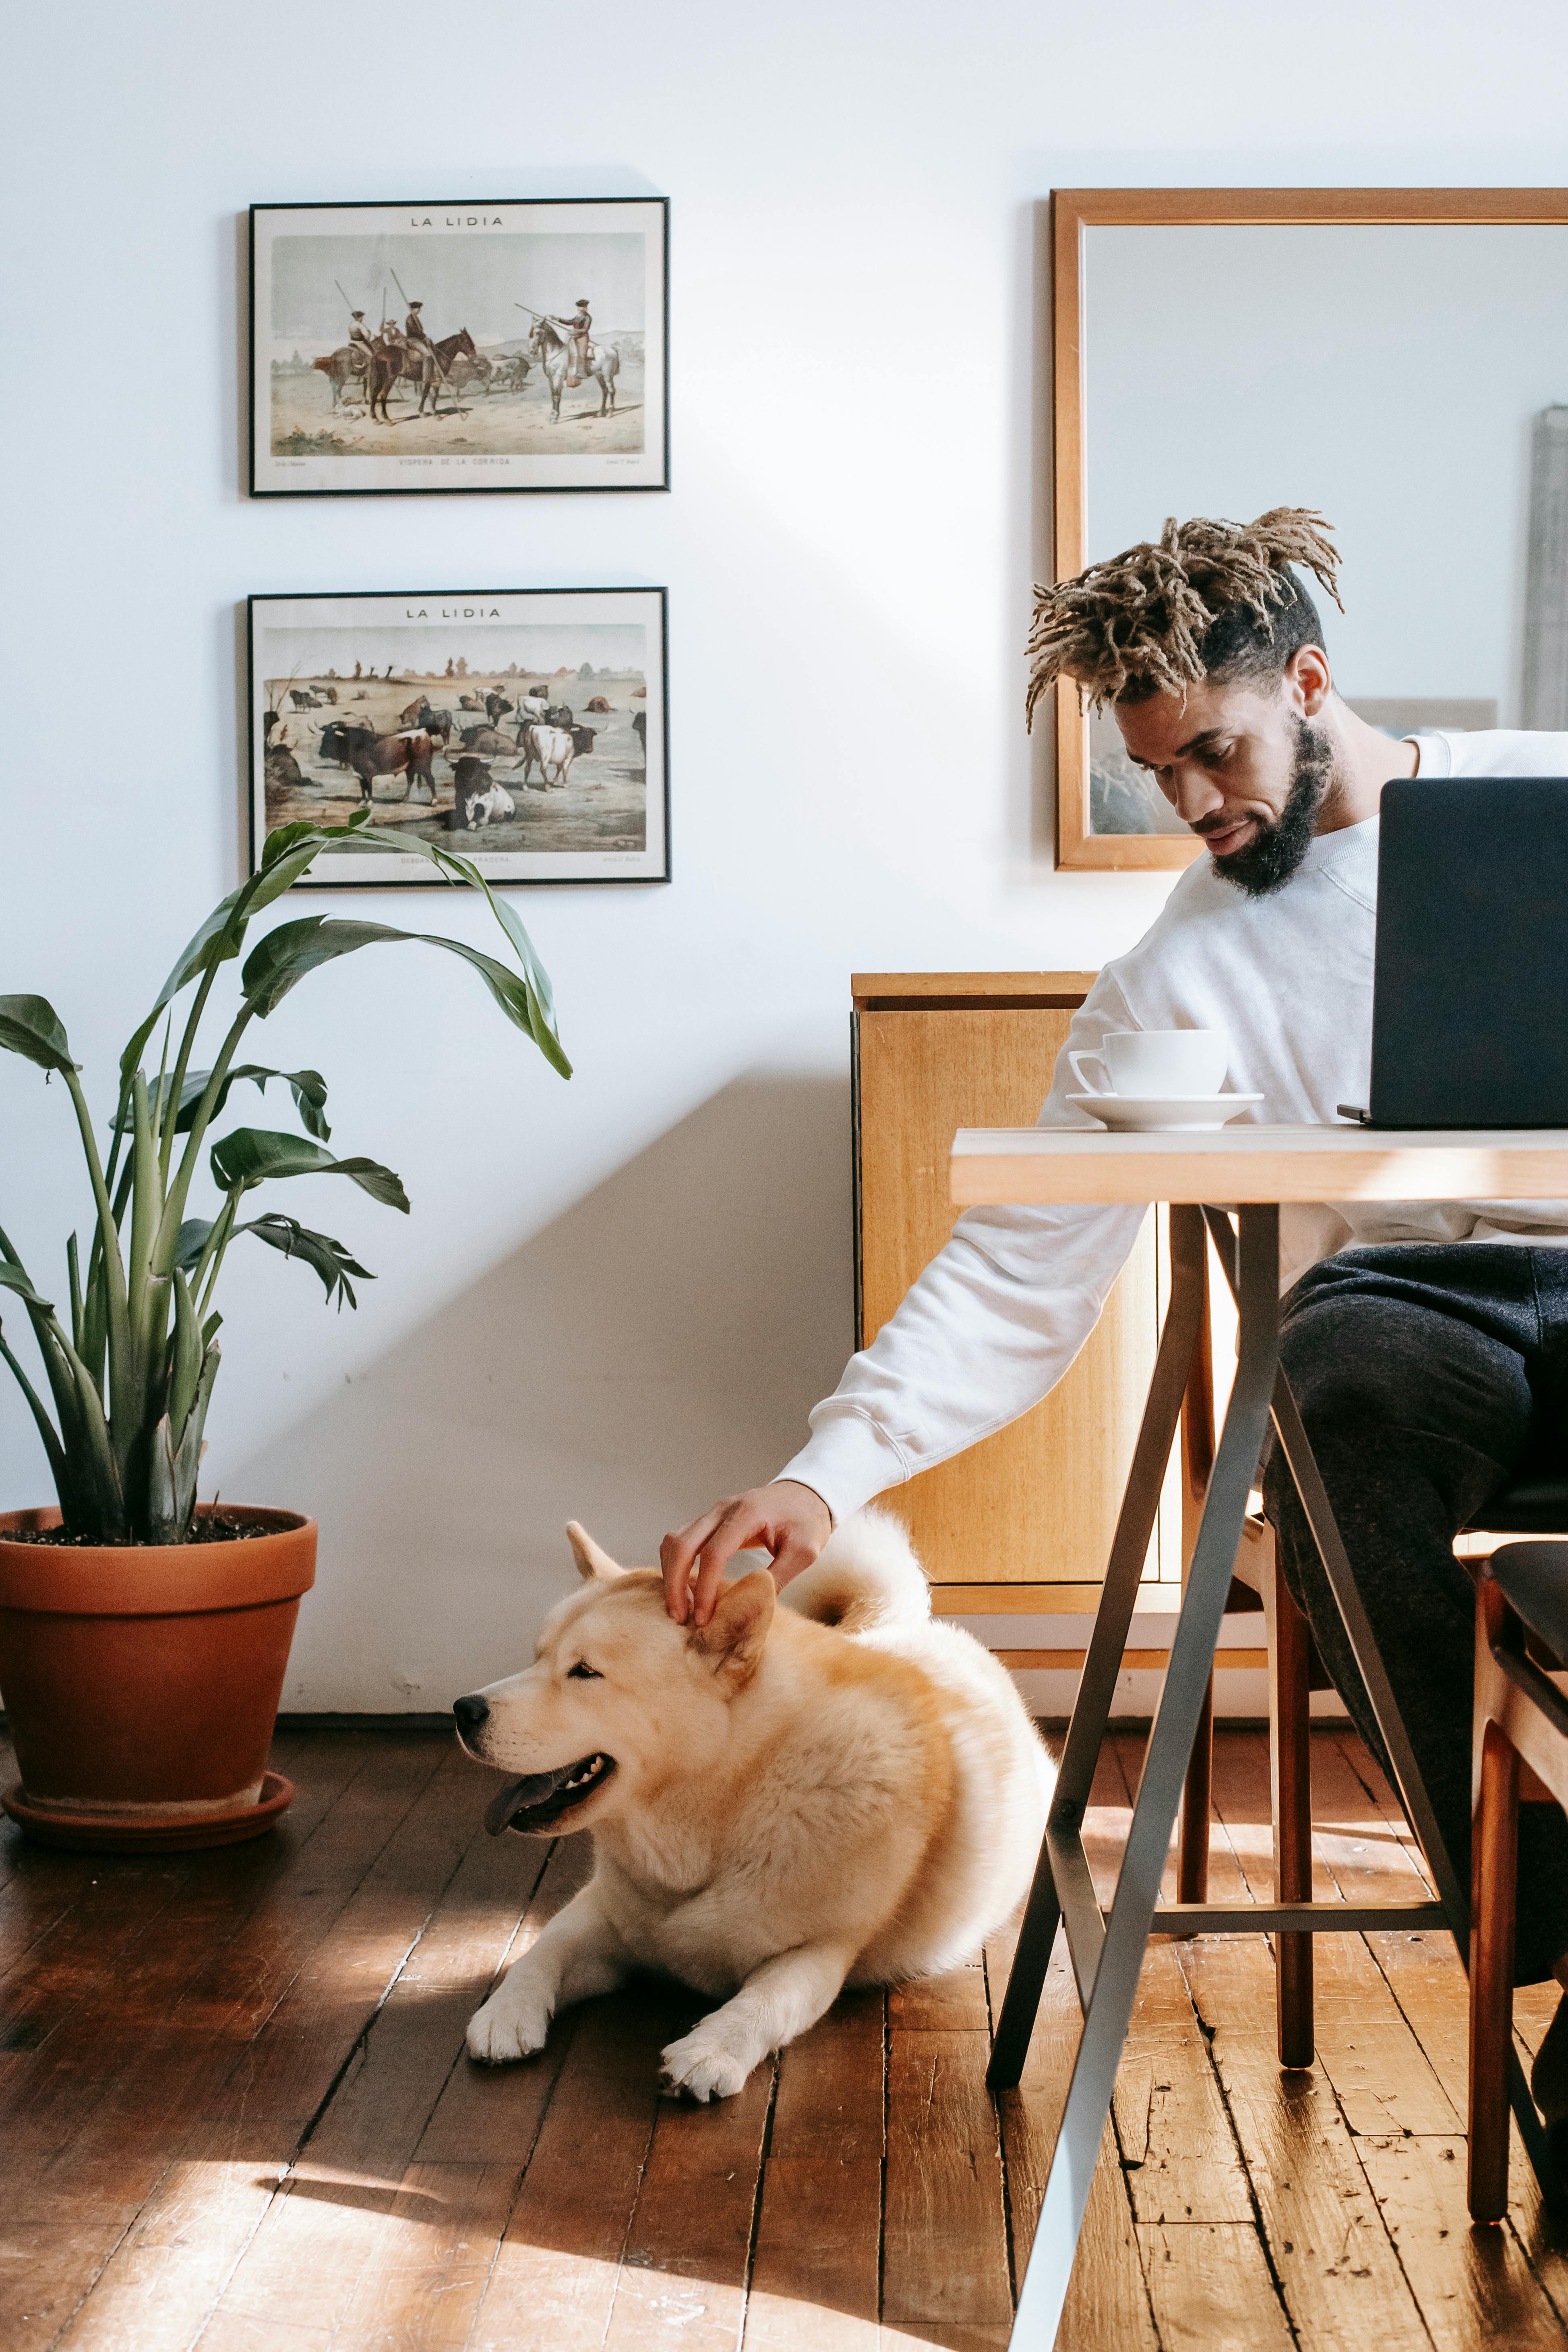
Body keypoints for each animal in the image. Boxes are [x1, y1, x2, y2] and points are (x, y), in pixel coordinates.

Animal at [461, 1514, 1062, 2107]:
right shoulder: (605, 1915)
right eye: (536, 1657)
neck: (730, 1807)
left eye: (585, 1672)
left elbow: (769, 2001)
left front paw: (711, 2051)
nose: (464, 1709)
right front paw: (506, 2011)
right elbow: (544, 1948)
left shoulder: (822, 1950)